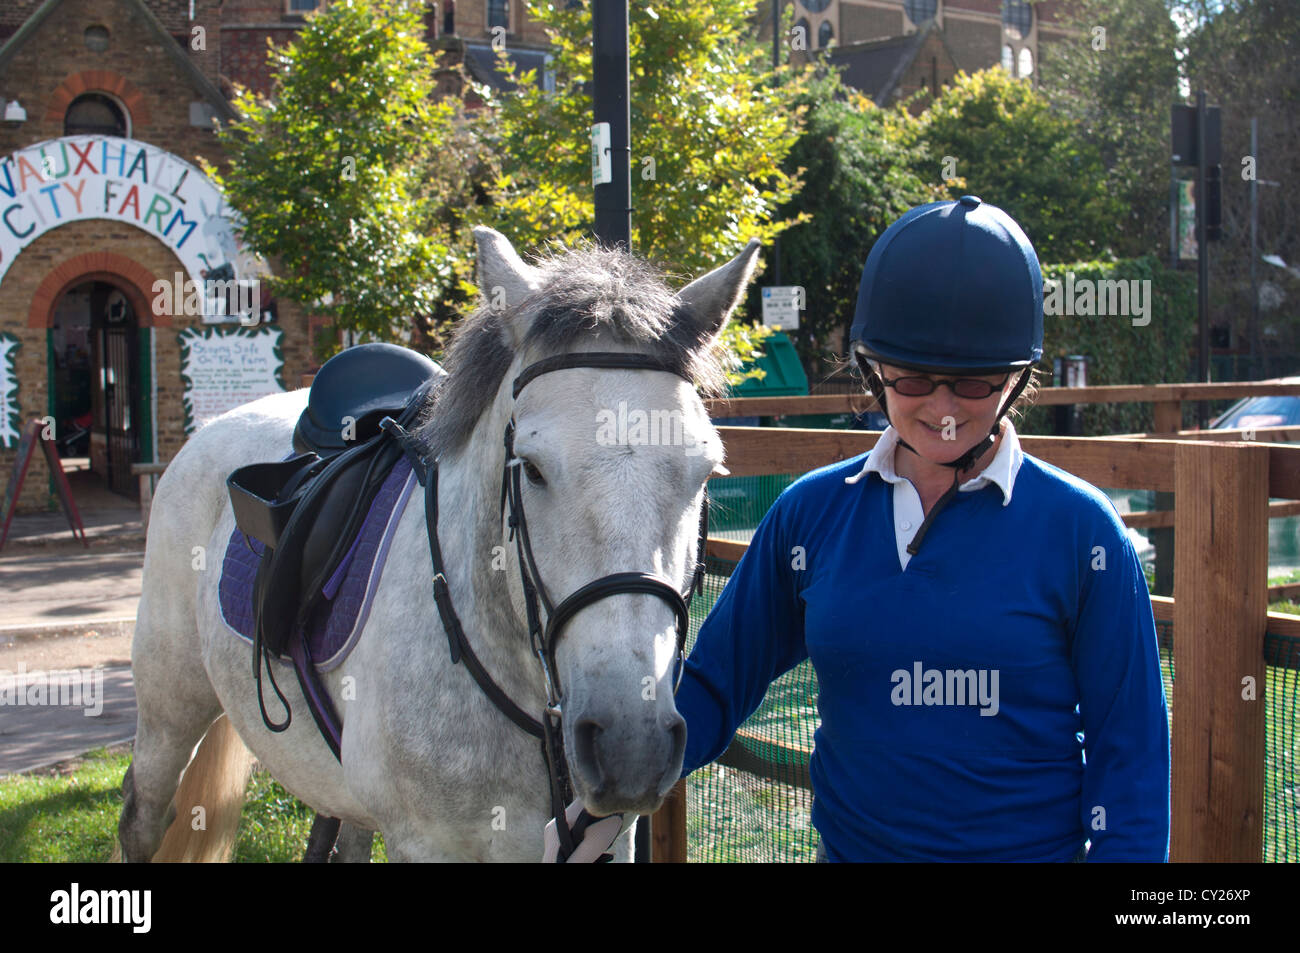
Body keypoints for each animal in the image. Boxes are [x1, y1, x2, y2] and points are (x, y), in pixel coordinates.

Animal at [119, 228, 759, 863]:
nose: (631, 746)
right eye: (530, 468)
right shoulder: (426, 843)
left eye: (705, 473)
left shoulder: (610, 841)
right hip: (168, 711)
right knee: (142, 814)